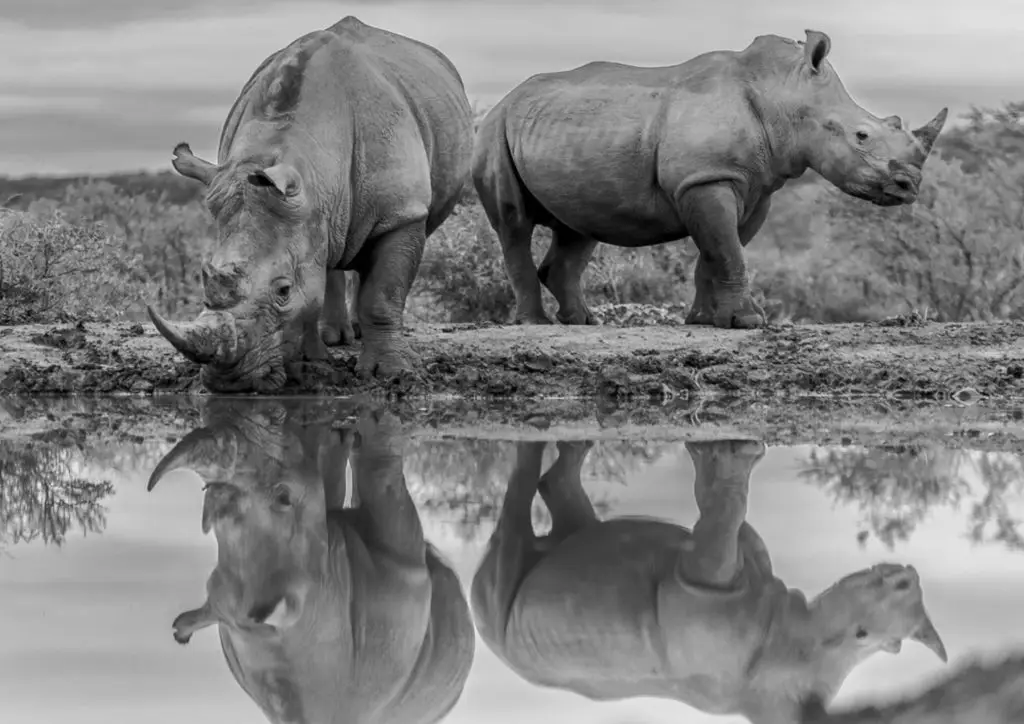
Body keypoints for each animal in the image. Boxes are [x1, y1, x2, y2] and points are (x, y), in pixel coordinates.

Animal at [147, 16, 474, 392]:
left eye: (283, 291)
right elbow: (314, 283)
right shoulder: (306, 208)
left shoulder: (402, 213)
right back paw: (336, 337)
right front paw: (311, 363)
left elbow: (382, 294)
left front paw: (393, 373)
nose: (230, 383)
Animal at [471, 439, 948, 724]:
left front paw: (723, 459)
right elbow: (726, 515)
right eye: (899, 588)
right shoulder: (717, 577)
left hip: (518, 633)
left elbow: (720, 519)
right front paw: (723, 456)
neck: (800, 647)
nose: (908, 573)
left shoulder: (713, 578)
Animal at [472, 30, 948, 328]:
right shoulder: (706, 178)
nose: (909, 187)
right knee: (514, 223)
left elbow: (717, 252)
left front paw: (706, 321)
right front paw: (750, 322)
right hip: (494, 130)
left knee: (578, 227)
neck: (784, 95)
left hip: (567, 134)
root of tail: (505, 98)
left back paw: (584, 322)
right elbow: (728, 250)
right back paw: (535, 322)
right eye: (862, 135)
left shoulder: (752, 188)